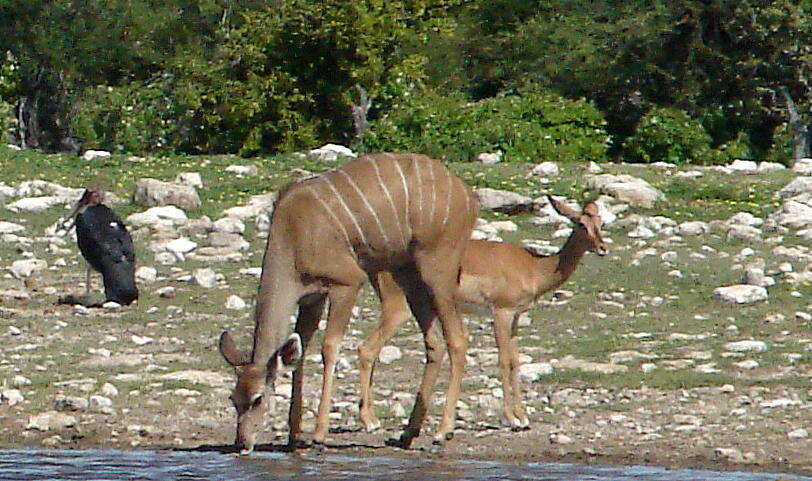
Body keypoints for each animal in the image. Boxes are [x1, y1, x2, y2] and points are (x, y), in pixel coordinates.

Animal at [219, 152, 478, 452]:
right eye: (233, 399)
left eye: (258, 399)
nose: (242, 443)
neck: (294, 235)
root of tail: (468, 196)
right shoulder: (312, 297)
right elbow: (301, 351)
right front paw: (294, 436)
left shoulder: (346, 282)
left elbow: (330, 346)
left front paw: (320, 433)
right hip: (408, 272)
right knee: (434, 342)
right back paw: (408, 433)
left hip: (437, 269)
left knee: (457, 338)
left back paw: (442, 431)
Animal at [358, 197, 604, 430]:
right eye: (581, 223)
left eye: (601, 222)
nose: (603, 248)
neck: (534, 268)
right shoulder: (501, 313)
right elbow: (504, 360)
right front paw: (512, 419)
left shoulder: (515, 317)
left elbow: (516, 361)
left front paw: (523, 418)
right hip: (398, 309)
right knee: (367, 349)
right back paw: (370, 422)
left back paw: (373, 419)